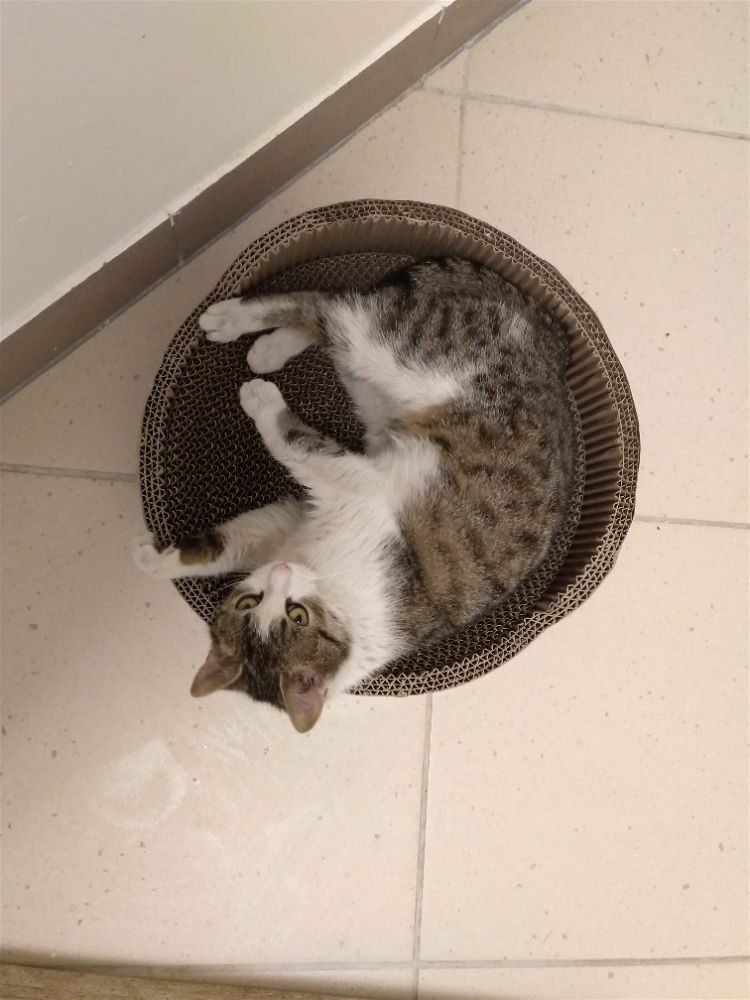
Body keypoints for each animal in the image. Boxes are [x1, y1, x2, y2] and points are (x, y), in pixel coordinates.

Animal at [133, 258, 575, 732]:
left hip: (397, 355)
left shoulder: (355, 483)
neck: (327, 584)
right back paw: (268, 346)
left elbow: (292, 439)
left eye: (297, 616)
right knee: (333, 316)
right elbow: (220, 546)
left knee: (329, 308)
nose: (281, 573)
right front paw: (152, 560)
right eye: (249, 602)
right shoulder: (285, 525)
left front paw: (263, 403)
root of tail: (552, 351)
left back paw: (236, 325)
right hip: (372, 392)